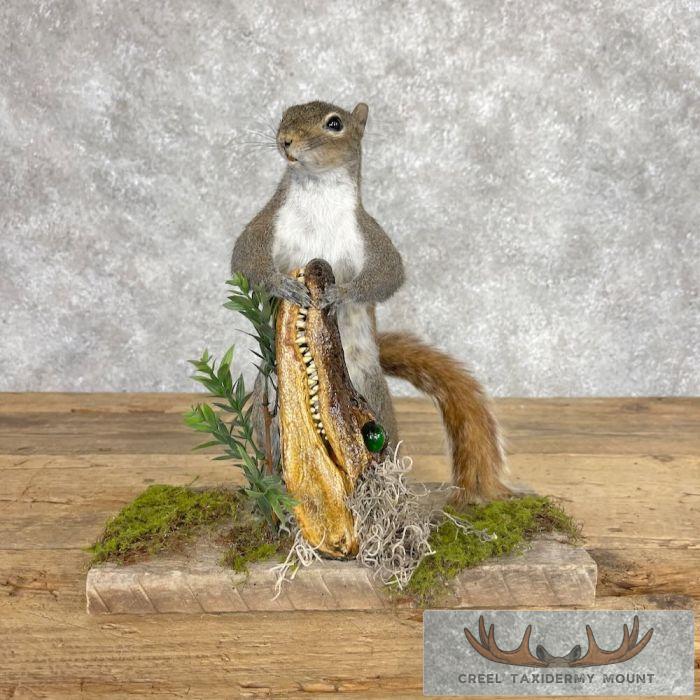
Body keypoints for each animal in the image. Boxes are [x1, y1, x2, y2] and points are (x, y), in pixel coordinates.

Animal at [231, 100, 509, 502]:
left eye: (335, 124)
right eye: (285, 115)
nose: (286, 140)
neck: (318, 191)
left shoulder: (369, 235)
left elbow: (388, 275)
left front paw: (341, 294)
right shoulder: (266, 224)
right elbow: (245, 260)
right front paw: (284, 286)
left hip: (372, 398)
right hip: (266, 393)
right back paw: (271, 482)